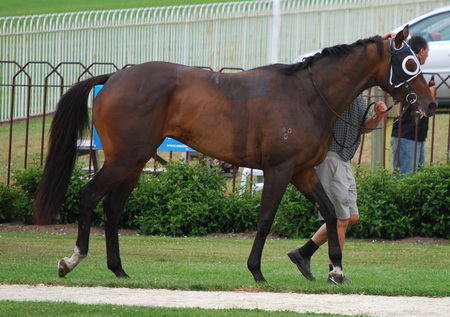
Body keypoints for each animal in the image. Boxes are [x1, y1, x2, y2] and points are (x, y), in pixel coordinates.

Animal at [35, 26, 436, 284]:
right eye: (409, 64)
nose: (430, 103)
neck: (306, 95)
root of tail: (114, 79)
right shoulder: (279, 169)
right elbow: (265, 219)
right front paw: (256, 270)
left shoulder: (303, 171)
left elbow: (329, 210)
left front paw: (335, 269)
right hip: (123, 158)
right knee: (89, 195)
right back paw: (71, 260)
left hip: (135, 160)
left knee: (113, 208)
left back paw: (118, 269)